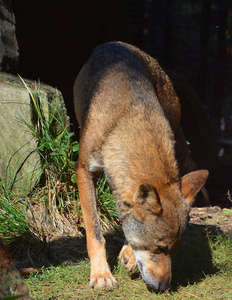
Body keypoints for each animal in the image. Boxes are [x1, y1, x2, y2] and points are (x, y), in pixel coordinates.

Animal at [74, 41, 208, 290]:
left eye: (174, 250)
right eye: (160, 248)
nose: (164, 287)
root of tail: (120, 43)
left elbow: (130, 221)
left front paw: (128, 253)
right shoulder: (84, 170)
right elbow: (95, 233)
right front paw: (101, 275)